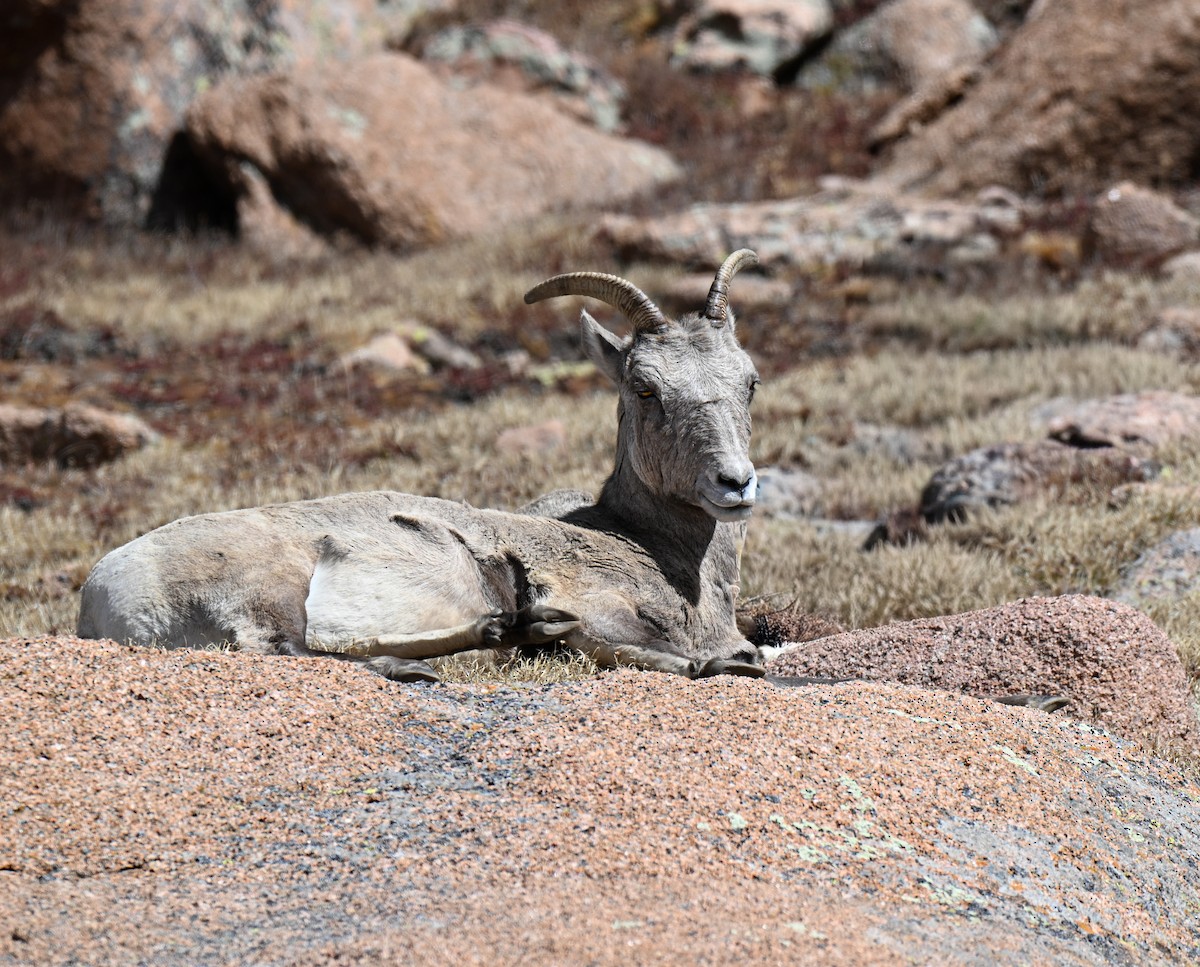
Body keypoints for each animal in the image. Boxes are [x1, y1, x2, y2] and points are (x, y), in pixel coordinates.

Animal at [77, 251, 767, 682]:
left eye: (750, 381)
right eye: (646, 389)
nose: (734, 483)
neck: (648, 546)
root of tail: (101, 598)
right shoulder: (606, 609)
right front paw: (718, 663)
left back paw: (495, 630)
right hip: (270, 589)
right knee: (293, 650)